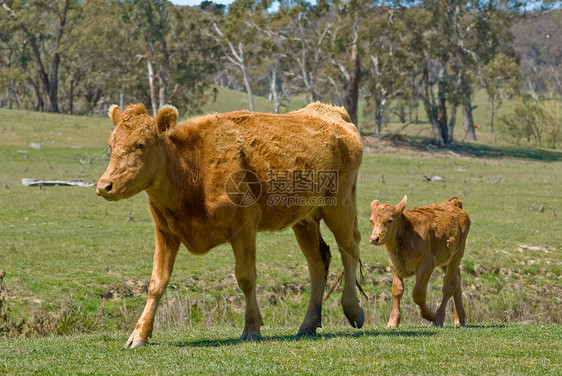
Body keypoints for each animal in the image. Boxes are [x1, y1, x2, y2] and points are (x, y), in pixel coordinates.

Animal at [96, 102, 364, 346]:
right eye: (111, 145)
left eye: (141, 144)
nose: (104, 185)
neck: (192, 169)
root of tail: (331, 112)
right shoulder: (165, 232)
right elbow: (156, 282)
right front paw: (139, 334)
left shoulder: (244, 227)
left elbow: (246, 277)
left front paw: (252, 329)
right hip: (304, 219)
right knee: (317, 262)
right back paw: (308, 324)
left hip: (339, 205)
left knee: (349, 249)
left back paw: (353, 310)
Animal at [368, 195, 468, 328]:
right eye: (371, 220)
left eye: (390, 220)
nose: (374, 238)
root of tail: (452, 203)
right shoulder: (394, 265)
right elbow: (397, 291)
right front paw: (393, 321)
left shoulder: (426, 264)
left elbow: (418, 294)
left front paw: (431, 316)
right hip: (446, 261)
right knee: (457, 282)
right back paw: (459, 319)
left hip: (457, 255)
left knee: (449, 285)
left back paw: (439, 318)